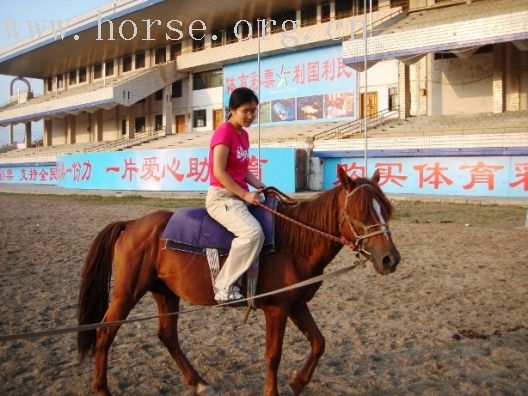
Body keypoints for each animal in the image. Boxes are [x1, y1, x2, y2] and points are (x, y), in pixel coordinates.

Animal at [77, 168, 400, 396]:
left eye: (385, 209)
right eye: (360, 212)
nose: (390, 259)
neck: (294, 242)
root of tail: (131, 224)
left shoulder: (296, 304)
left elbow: (319, 343)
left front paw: (297, 383)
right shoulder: (278, 309)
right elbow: (273, 355)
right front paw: (274, 391)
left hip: (165, 292)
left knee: (167, 335)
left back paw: (198, 382)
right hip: (127, 293)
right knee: (105, 332)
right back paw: (101, 389)